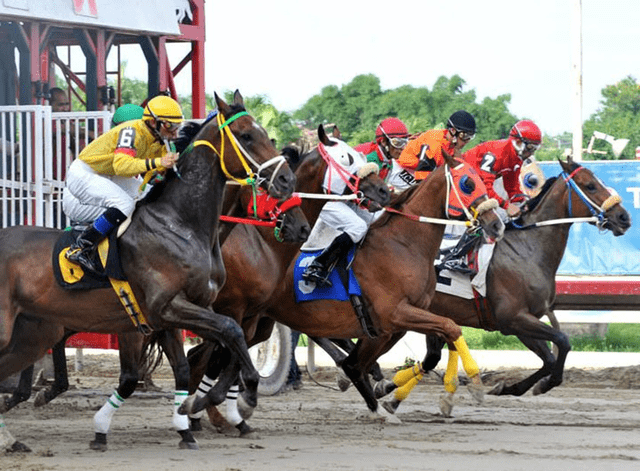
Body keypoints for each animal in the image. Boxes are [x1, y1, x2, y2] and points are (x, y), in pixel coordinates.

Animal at [0, 88, 298, 454]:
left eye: (265, 133)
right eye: (246, 135)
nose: (286, 180)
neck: (179, 224)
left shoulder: (174, 315)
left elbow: (210, 353)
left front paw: (191, 416)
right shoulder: (167, 307)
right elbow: (230, 334)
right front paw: (226, 399)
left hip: (33, 332)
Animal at [182, 148, 508, 420]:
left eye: (483, 181)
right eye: (468, 183)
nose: (497, 224)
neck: (404, 244)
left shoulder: (392, 324)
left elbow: (426, 344)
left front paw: (386, 395)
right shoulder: (394, 314)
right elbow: (449, 329)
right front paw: (474, 384)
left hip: (257, 322)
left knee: (201, 356)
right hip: (236, 313)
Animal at [320, 158, 632, 416]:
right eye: (590, 185)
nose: (624, 217)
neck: (528, 250)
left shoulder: (522, 322)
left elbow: (549, 356)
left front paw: (510, 387)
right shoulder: (513, 319)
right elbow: (563, 343)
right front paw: (541, 385)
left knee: (419, 356)